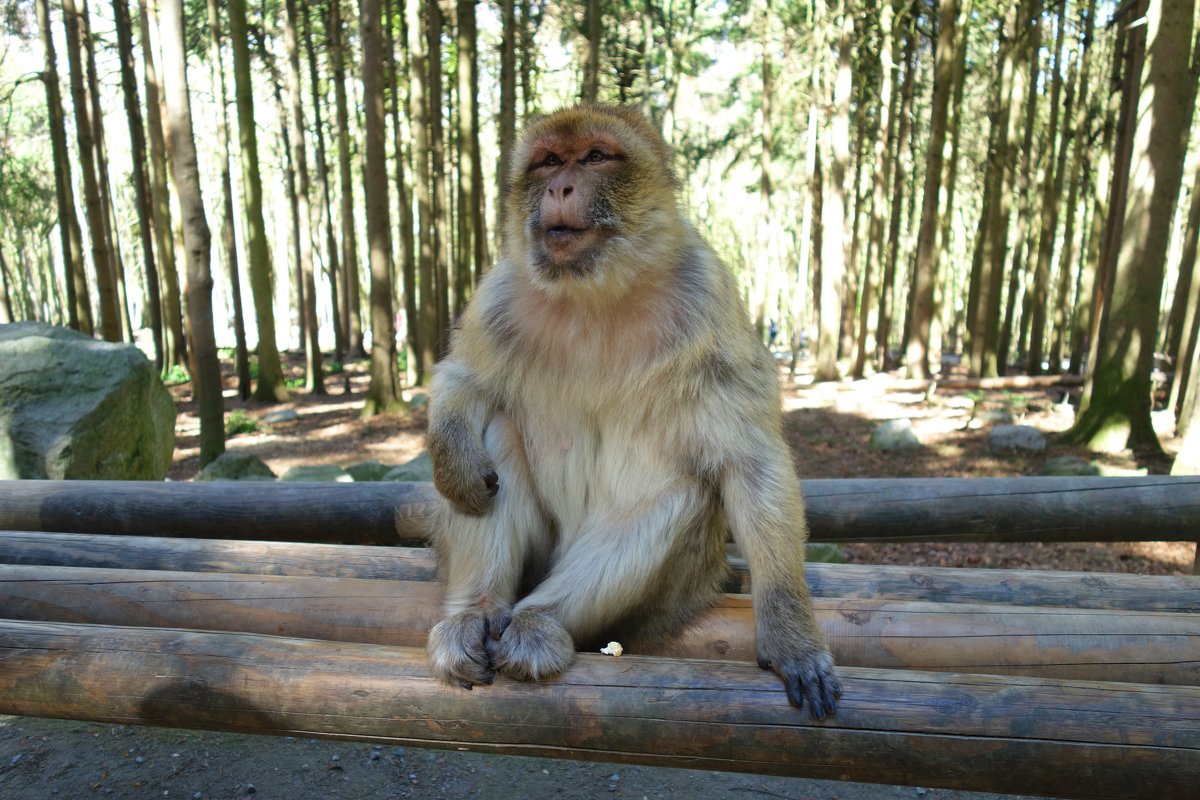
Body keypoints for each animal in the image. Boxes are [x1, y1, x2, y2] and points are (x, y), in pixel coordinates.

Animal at [427, 103, 840, 714]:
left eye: (596, 156)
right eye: (547, 161)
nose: (560, 186)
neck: (598, 294)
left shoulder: (707, 297)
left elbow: (750, 462)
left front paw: (792, 635)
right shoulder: (500, 293)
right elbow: (467, 382)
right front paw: (452, 454)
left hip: (679, 588)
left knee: (687, 494)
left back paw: (538, 624)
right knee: (496, 440)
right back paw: (474, 616)